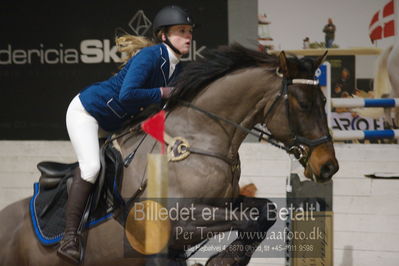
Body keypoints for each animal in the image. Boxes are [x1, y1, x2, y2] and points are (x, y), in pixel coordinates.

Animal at [0, 44, 340, 264]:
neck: (200, 137)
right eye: (303, 104)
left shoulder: (227, 201)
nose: (328, 167)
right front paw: (221, 260)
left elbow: (264, 211)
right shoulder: (177, 223)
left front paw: (224, 259)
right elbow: (248, 221)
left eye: (323, 101)